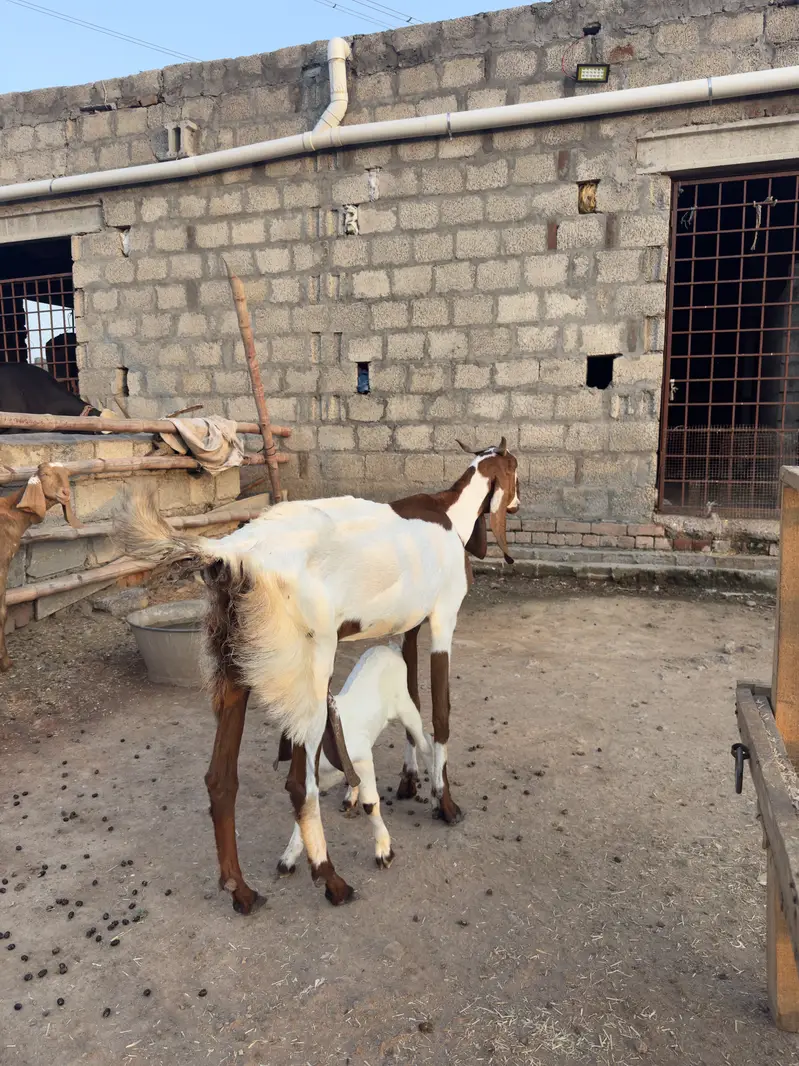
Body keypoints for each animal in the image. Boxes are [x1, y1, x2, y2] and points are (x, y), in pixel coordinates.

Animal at [278, 644, 433, 875]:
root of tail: (388, 648)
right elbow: (303, 809)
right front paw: (288, 859)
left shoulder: (363, 759)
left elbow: (370, 804)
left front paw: (384, 853)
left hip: (406, 706)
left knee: (424, 742)